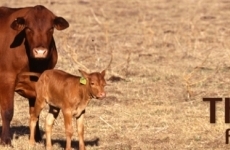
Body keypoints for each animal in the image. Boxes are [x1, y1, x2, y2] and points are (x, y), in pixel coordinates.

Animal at [0, 5, 68, 145]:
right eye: (28, 28)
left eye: (51, 28)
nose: (40, 52)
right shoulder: (6, 79)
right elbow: (7, 111)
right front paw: (6, 140)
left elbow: (35, 113)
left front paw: (36, 138)